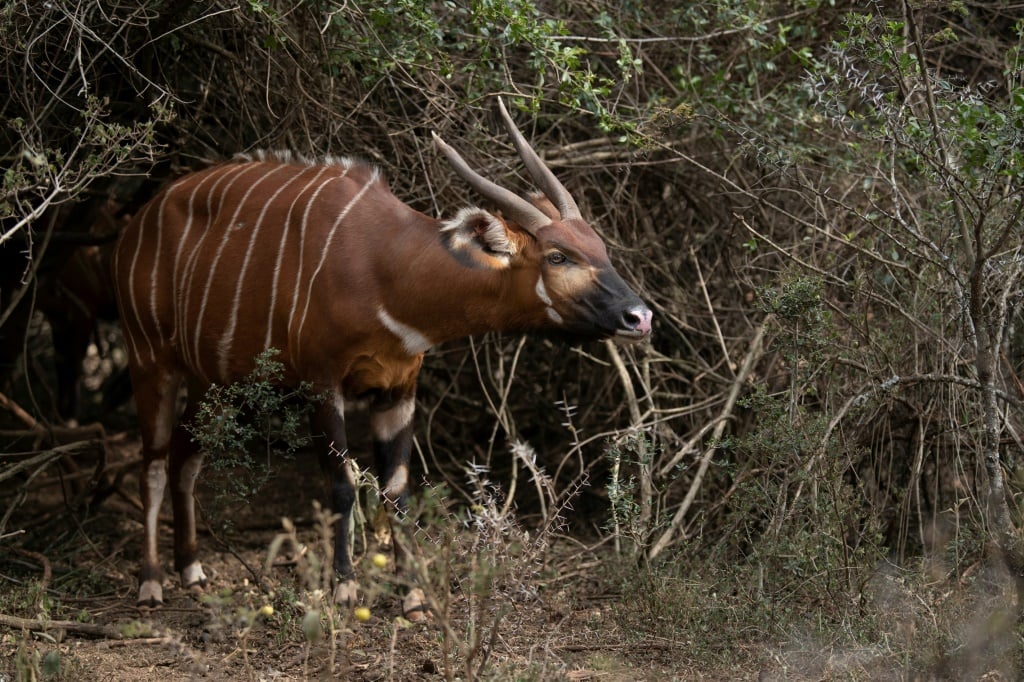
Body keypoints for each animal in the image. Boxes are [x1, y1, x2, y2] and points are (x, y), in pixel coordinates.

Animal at [112, 100, 652, 618]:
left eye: (600, 247)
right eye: (558, 256)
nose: (640, 317)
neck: (388, 268)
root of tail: (137, 222)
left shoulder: (399, 389)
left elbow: (397, 492)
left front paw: (414, 599)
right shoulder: (321, 384)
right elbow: (343, 484)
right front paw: (345, 590)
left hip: (219, 385)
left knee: (184, 457)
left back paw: (192, 570)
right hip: (149, 360)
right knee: (152, 464)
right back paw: (150, 584)